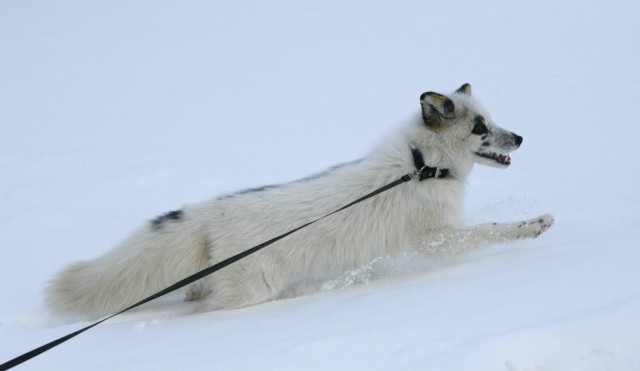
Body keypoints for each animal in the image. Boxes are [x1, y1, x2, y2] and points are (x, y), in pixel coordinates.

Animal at [46, 84, 556, 316]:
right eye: (480, 128)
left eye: (493, 119)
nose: (521, 139)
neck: (421, 163)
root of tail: (212, 210)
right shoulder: (434, 239)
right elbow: (488, 233)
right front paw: (533, 226)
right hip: (250, 291)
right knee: (208, 309)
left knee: (195, 289)